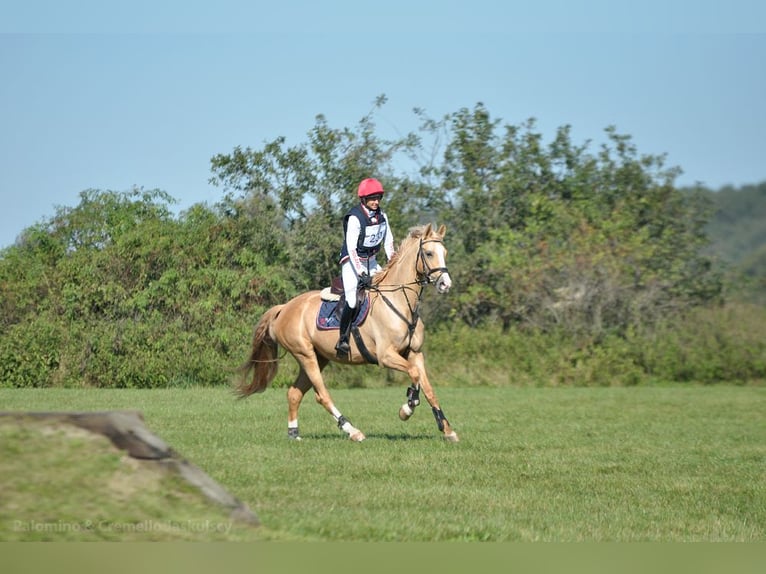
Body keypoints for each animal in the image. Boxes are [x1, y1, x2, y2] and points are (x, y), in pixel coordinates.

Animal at [234, 223, 460, 444]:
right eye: (429, 253)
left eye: (445, 252)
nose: (445, 284)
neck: (399, 302)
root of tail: (285, 308)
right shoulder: (386, 356)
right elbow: (414, 375)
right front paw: (406, 409)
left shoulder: (415, 353)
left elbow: (428, 388)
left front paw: (447, 430)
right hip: (305, 355)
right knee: (321, 395)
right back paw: (352, 431)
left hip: (319, 357)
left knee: (294, 393)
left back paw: (294, 433)